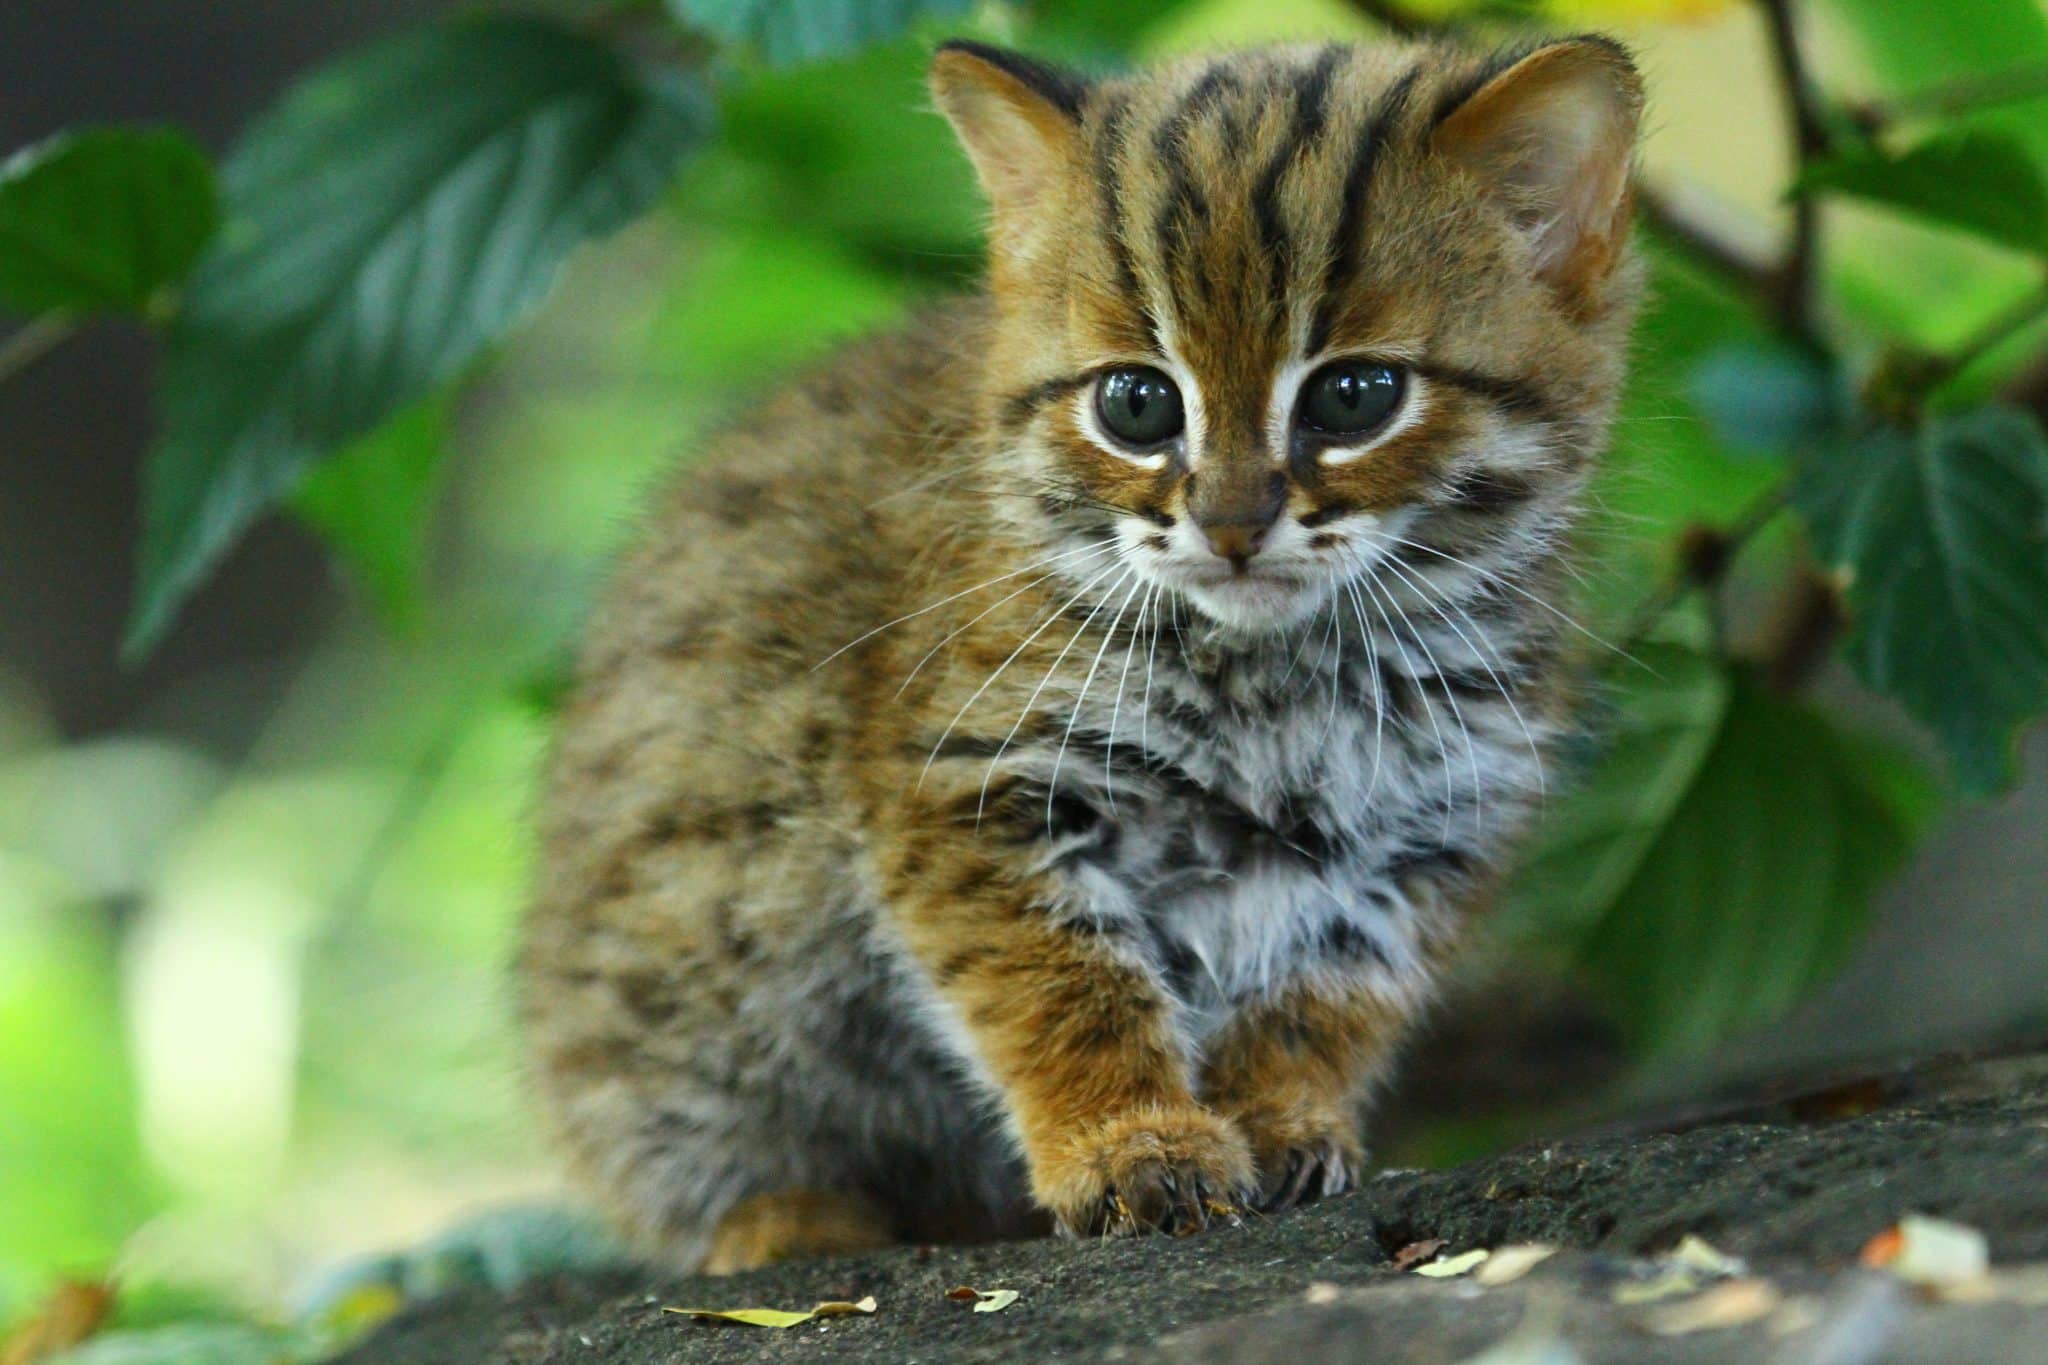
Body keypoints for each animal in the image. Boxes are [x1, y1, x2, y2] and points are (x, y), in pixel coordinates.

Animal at [520, 29, 1638, 1268]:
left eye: (1355, 395)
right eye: (1136, 406)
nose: (1231, 527)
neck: (1281, 668)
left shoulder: (1428, 826)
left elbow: (1324, 999)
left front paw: (1278, 1117)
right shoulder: (973, 781)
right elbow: (1061, 984)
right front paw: (1129, 1142)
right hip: (683, 958)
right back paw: (790, 1217)